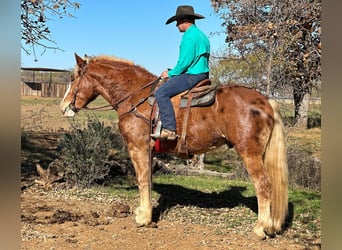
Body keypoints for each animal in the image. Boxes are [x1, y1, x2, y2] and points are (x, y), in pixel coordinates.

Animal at [60, 53, 288, 240]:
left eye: (72, 79)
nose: (63, 107)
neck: (135, 97)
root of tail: (265, 101)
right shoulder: (149, 151)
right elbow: (149, 180)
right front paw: (145, 212)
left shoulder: (137, 147)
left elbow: (142, 180)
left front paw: (143, 217)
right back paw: (271, 226)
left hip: (249, 153)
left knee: (263, 185)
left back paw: (260, 228)